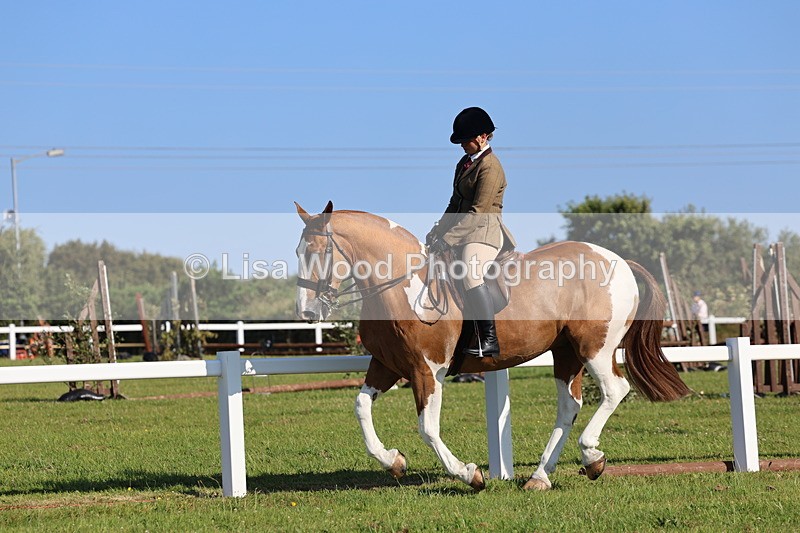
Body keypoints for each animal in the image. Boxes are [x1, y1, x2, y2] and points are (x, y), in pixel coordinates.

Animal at [294, 201, 690, 491]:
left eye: (318, 251)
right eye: (298, 251)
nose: (307, 311)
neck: (402, 284)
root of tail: (620, 260)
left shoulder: (428, 370)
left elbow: (428, 429)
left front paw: (469, 474)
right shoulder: (388, 365)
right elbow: (361, 407)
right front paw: (393, 461)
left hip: (595, 348)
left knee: (614, 390)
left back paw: (590, 455)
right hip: (566, 352)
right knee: (569, 406)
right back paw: (541, 477)